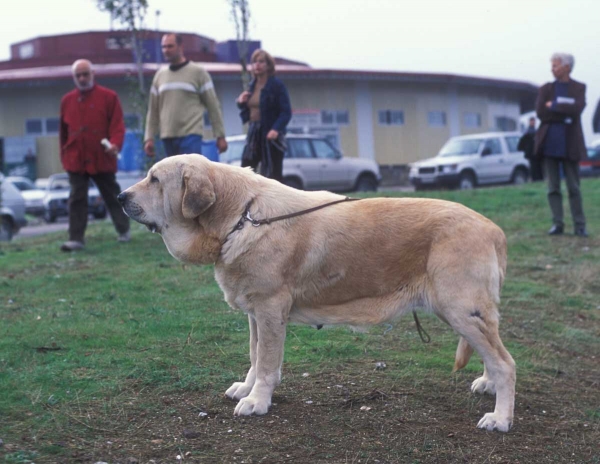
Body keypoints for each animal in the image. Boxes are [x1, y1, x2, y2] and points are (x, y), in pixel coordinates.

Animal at [117, 155, 516, 432]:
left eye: (154, 179)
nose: (119, 196)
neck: (240, 218)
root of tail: (494, 229)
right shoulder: (255, 314)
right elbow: (255, 356)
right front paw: (247, 387)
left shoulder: (270, 309)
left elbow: (266, 363)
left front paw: (257, 401)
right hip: (469, 314)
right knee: (492, 352)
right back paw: (487, 384)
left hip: (460, 309)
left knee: (506, 363)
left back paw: (500, 418)